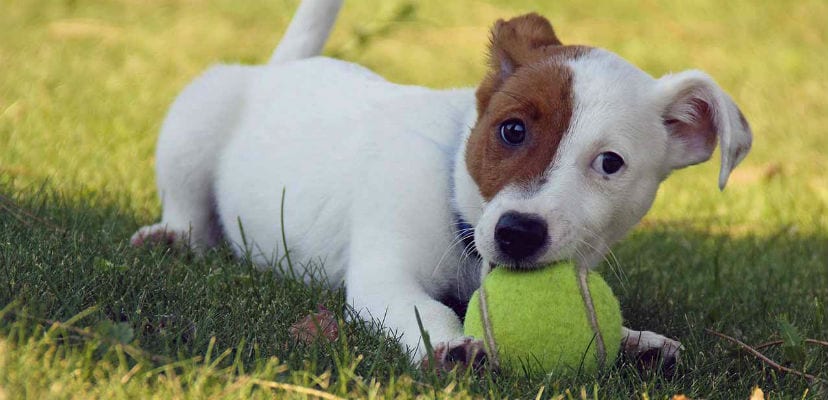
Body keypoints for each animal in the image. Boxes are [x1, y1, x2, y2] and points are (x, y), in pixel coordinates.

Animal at [131, 0, 752, 368]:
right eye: (512, 129)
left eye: (611, 164)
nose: (518, 233)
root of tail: (279, 71)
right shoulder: (385, 278)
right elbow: (426, 313)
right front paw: (452, 345)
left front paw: (636, 341)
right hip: (195, 121)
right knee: (188, 208)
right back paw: (173, 236)